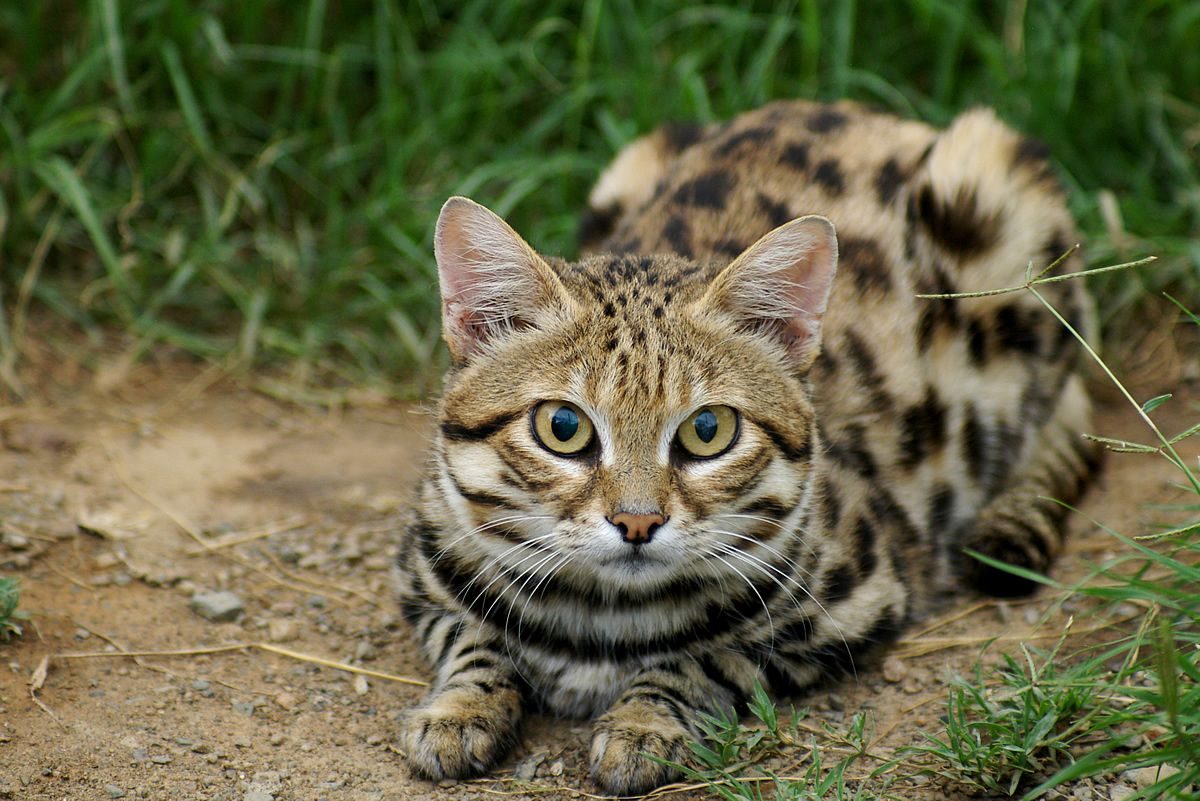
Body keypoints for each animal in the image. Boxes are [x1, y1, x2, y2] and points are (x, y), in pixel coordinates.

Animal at [391, 100, 1099, 796]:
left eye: (708, 431)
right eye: (563, 426)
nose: (638, 521)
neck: (601, 614)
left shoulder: (859, 599)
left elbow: (707, 657)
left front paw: (644, 722)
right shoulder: (420, 569)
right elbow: (470, 637)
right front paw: (460, 709)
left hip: (994, 195)